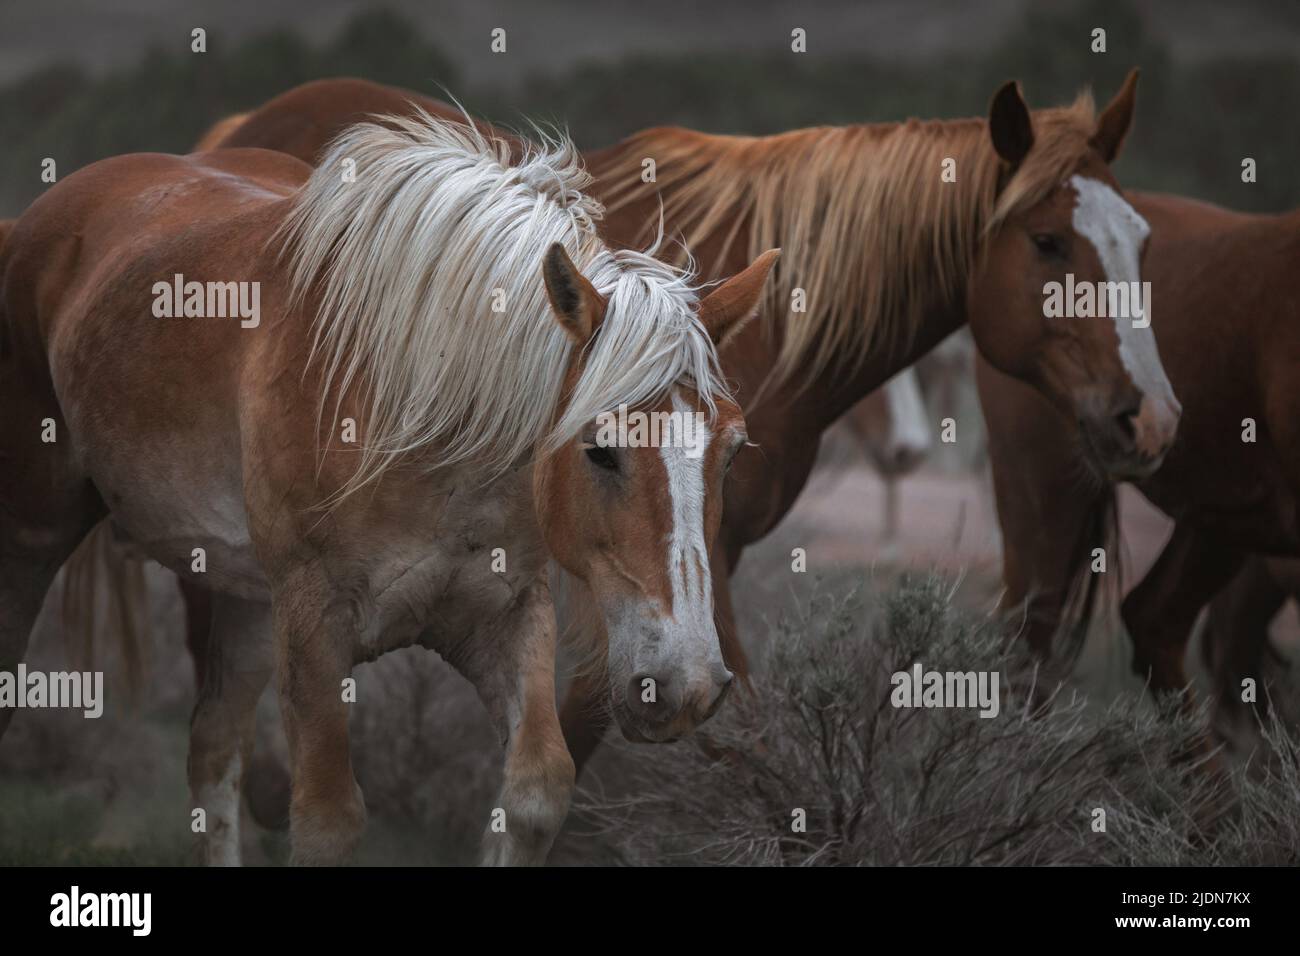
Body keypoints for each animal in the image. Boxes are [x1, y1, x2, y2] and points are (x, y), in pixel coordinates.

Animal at [0, 114, 780, 864]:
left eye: (733, 453)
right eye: (601, 449)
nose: (687, 683)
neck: (415, 410)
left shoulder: (507, 614)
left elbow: (535, 795)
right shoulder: (314, 623)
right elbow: (327, 821)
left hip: (246, 598)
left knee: (213, 751)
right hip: (36, 540)